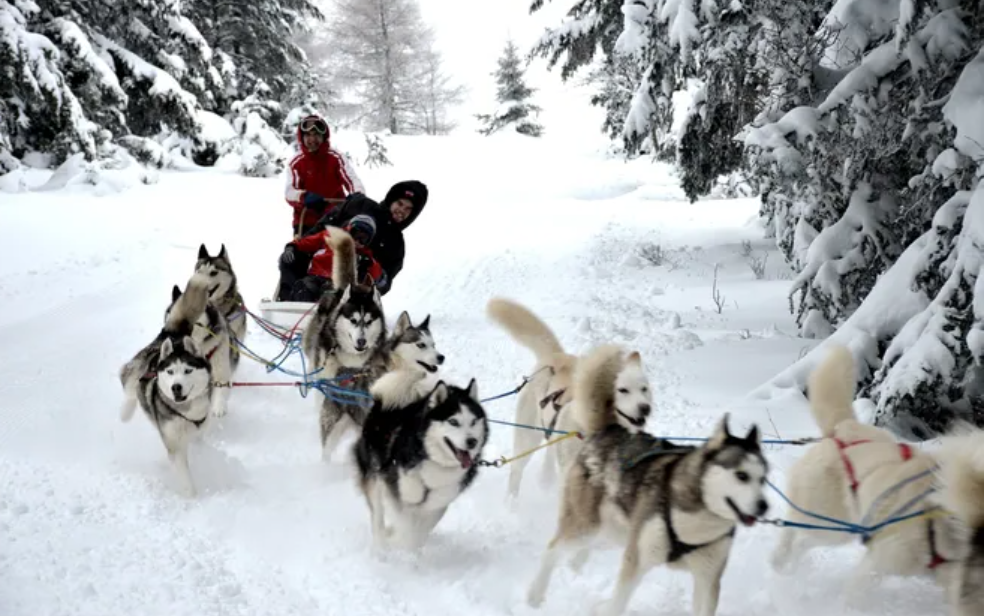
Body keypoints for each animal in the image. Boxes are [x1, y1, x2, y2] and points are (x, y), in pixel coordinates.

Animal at [356, 380, 490, 548]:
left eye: (473, 421)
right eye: (453, 422)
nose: (472, 441)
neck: (431, 458)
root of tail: (383, 407)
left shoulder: (437, 503)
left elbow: (420, 531)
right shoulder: (399, 495)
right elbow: (407, 528)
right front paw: (402, 546)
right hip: (375, 479)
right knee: (377, 518)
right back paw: (381, 546)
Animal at [484, 298, 652, 500]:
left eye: (644, 389)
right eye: (623, 390)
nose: (645, 408)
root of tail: (555, 356)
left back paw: (545, 478)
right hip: (528, 438)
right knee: (516, 471)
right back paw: (512, 502)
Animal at [528, 344, 764, 616]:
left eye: (763, 478)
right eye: (741, 475)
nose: (762, 506)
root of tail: (608, 430)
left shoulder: (708, 577)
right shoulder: (637, 557)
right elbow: (618, 601)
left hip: (615, 526)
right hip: (586, 524)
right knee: (553, 550)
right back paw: (535, 596)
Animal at [764, 346, 964, 600]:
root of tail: (843, 428)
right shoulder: (878, 563)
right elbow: (854, 597)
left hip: (844, 528)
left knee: (802, 538)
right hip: (826, 519)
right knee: (793, 528)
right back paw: (779, 560)